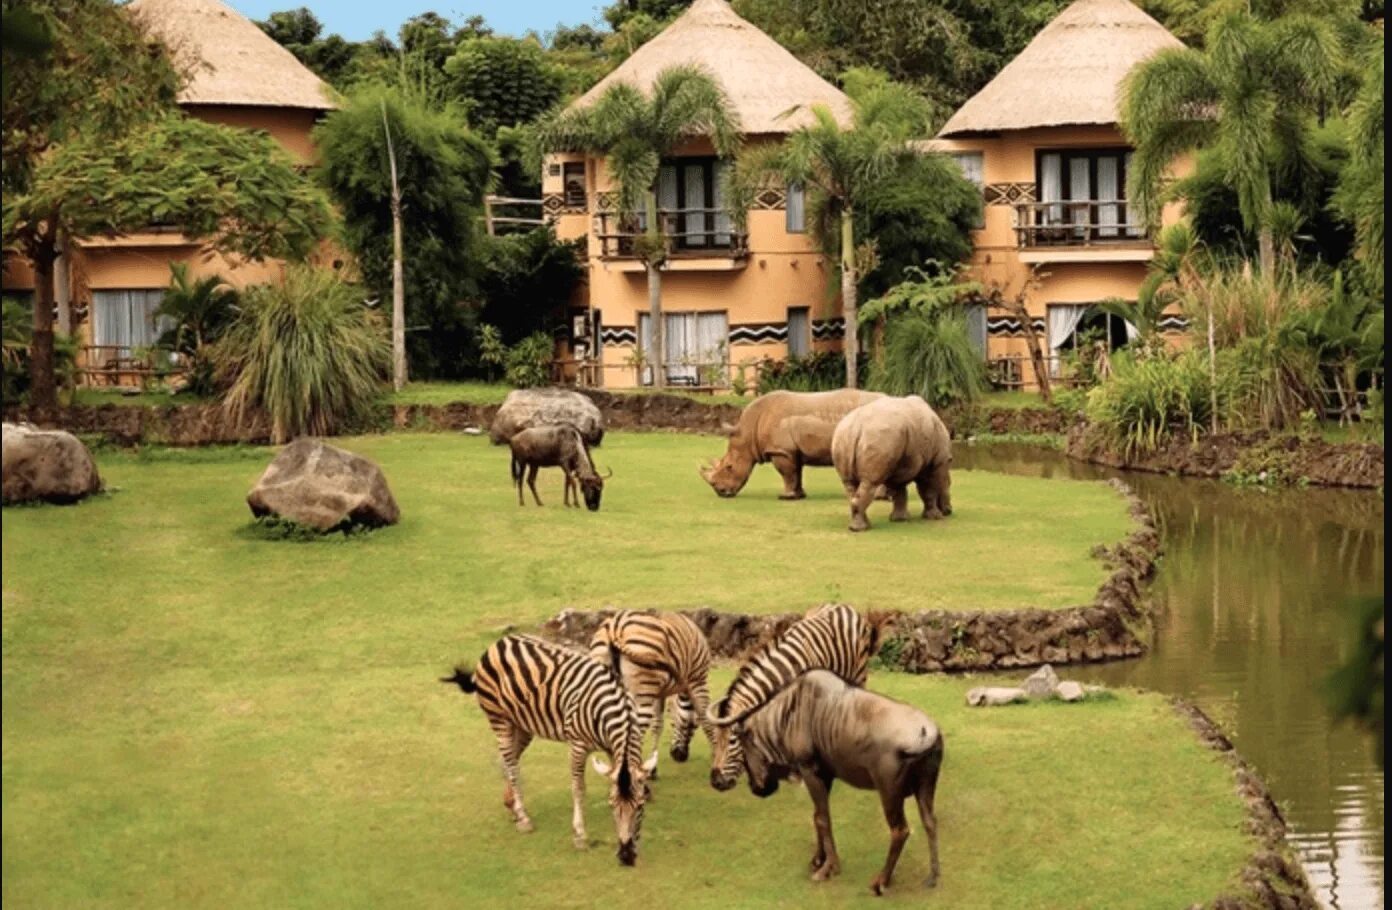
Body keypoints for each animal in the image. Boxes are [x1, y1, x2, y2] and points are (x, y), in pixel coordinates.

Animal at [437, 631, 654, 868]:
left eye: (641, 806)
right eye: (613, 805)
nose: (626, 857)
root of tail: (499, 643)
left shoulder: (612, 750)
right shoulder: (577, 745)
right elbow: (578, 788)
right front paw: (580, 835)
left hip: (522, 725)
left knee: (509, 760)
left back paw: (512, 804)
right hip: (499, 720)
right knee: (512, 765)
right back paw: (523, 818)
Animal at [587, 609, 718, 779]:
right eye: (693, 725)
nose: (680, 757)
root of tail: (616, 628)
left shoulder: (659, 692)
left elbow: (657, 725)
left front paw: (653, 769)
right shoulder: (698, 680)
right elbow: (705, 718)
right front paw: (716, 756)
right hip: (642, 693)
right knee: (634, 732)